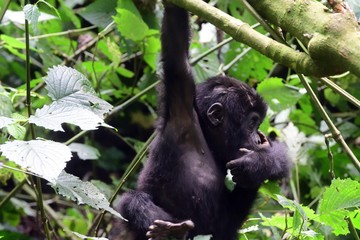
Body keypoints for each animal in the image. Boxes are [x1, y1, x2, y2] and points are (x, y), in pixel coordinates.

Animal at [111, 2, 292, 240]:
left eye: (258, 125)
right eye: (252, 123)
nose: (257, 137)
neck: (208, 140)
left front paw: (257, 163)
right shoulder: (181, 111)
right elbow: (178, 57)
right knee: (131, 202)